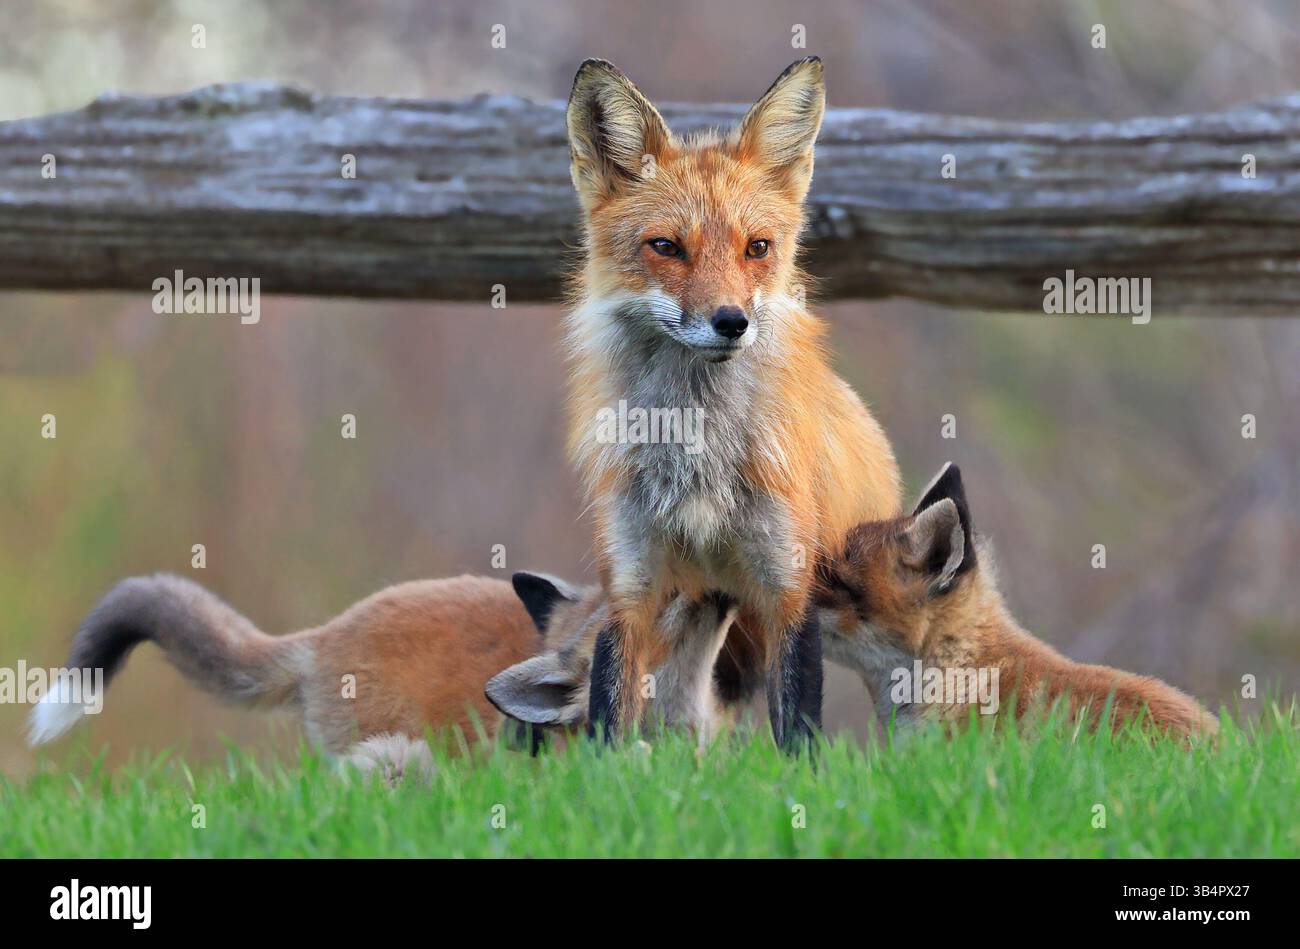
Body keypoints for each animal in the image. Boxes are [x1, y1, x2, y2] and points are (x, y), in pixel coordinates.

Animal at [563, 56, 901, 751]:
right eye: (666, 247)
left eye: (757, 248)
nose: (732, 322)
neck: (700, 455)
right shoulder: (630, 585)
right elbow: (607, 722)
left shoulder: (787, 590)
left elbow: (797, 735)